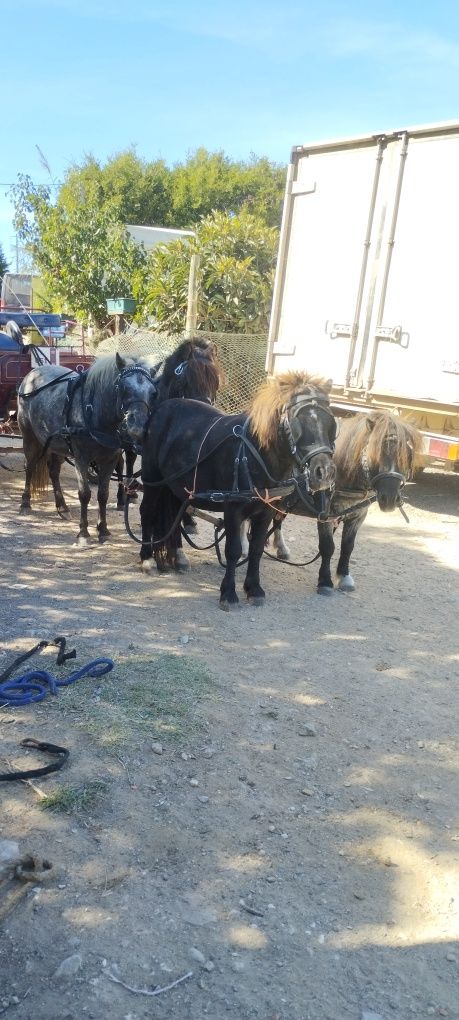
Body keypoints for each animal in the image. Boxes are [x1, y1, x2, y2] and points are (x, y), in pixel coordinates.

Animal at [17, 352, 156, 546]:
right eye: (122, 388)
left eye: (153, 393)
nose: (138, 427)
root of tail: (33, 373)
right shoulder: (81, 459)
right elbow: (84, 494)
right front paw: (83, 533)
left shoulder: (109, 460)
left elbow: (103, 494)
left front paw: (103, 530)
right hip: (30, 438)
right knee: (29, 467)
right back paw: (25, 503)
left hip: (57, 444)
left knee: (53, 472)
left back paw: (62, 507)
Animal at [139, 373, 336, 603]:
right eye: (298, 422)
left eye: (331, 422)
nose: (324, 472)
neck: (254, 454)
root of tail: (162, 408)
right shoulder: (232, 508)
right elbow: (233, 550)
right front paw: (228, 593)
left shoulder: (266, 511)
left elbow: (256, 549)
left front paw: (254, 588)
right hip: (153, 479)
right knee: (147, 513)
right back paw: (146, 559)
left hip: (176, 486)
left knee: (175, 517)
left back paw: (178, 557)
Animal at [263, 410, 422, 595]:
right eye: (376, 452)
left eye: (407, 455)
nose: (390, 498)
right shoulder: (326, 515)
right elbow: (327, 547)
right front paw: (325, 581)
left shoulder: (358, 515)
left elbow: (348, 546)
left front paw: (344, 576)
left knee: (276, 520)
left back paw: (280, 548)